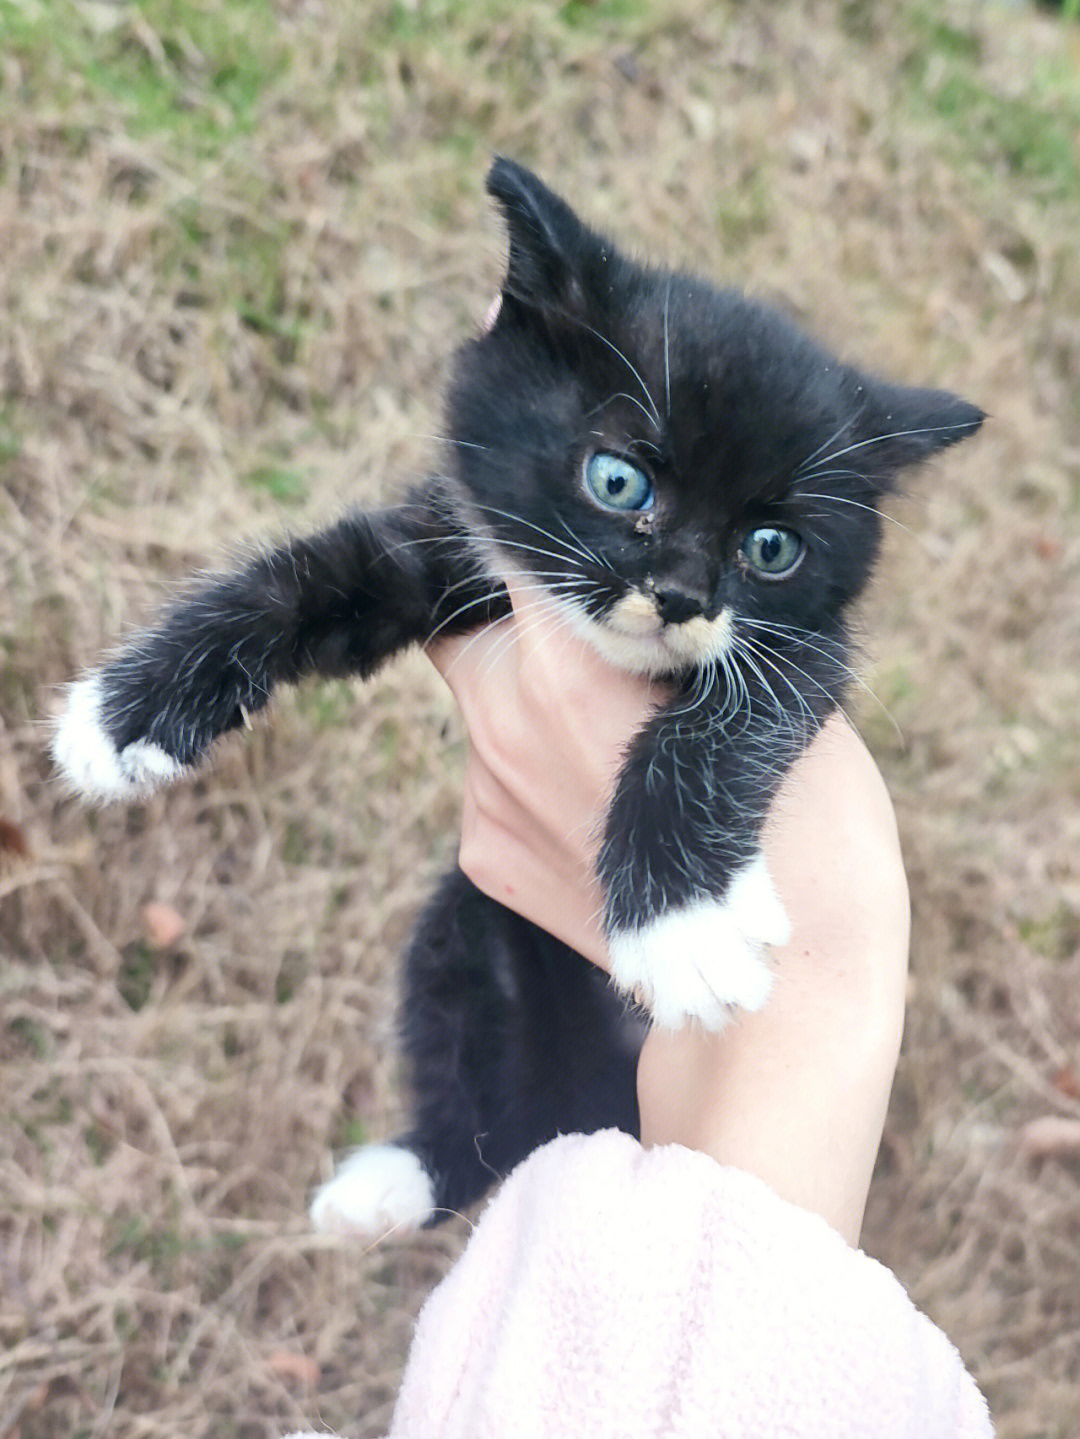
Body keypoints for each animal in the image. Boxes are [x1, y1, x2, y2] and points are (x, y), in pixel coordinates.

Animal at [50, 160, 983, 1226]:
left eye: (772, 548)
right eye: (617, 479)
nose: (681, 595)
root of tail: (583, 1095)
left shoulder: (806, 649)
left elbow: (728, 719)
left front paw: (679, 922)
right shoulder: (456, 546)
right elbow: (313, 574)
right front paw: (122, 716)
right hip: (463, 929)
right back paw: (399, 1180)